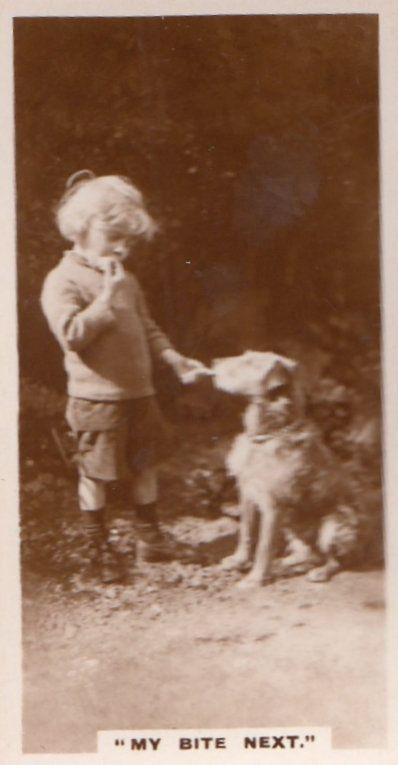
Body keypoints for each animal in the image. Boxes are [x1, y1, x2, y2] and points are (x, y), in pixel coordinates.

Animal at [213, 350, 360, 588]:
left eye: (249, 363)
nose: (214, 362)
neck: (266, 435)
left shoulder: (274, 505)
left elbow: (263, 547)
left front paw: (254, 579)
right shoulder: (247, 492)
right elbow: (245, 532)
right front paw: (238, 561)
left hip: (332, 527)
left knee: (333, 560)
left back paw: (320, 572)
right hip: (291, 523)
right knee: (307, 552)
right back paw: (288, 562)